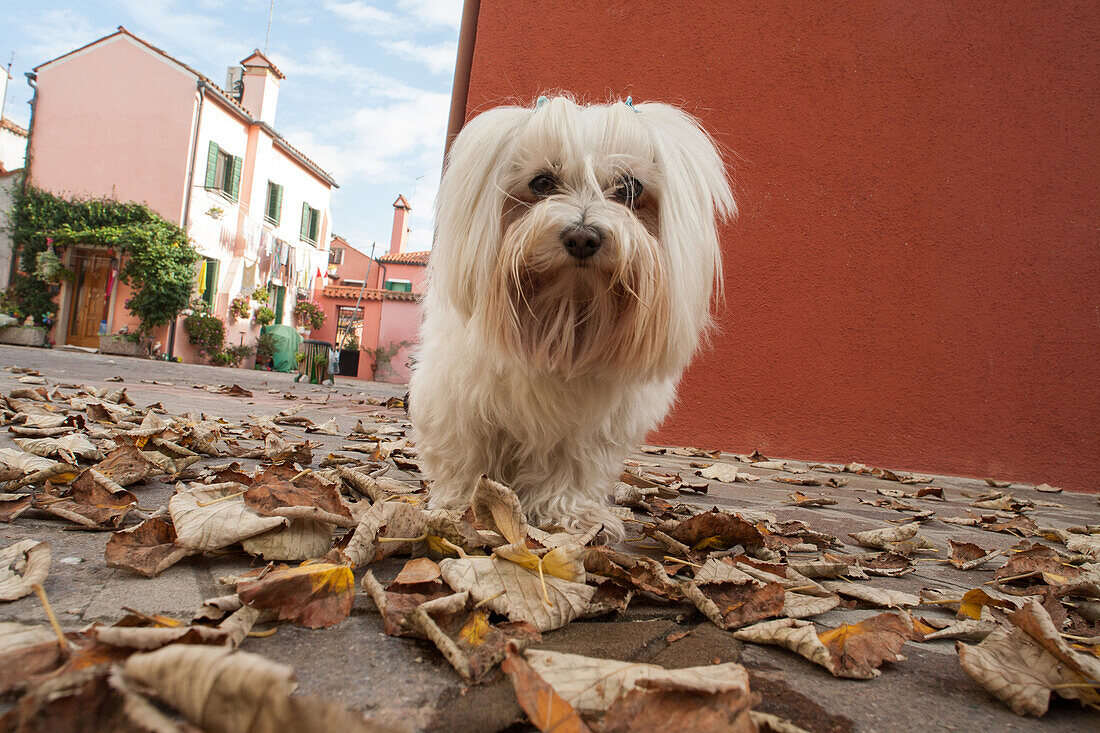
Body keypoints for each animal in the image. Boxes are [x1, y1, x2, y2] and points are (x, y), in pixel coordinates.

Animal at [409, 95, 734, 537]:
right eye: (542, 183)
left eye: (630, 188)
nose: (582, 237)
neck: (563, 314)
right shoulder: (458, 399)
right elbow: (467, 455)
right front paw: (461, 503)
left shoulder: (587, 430)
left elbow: (571, 467)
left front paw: (566, 513)